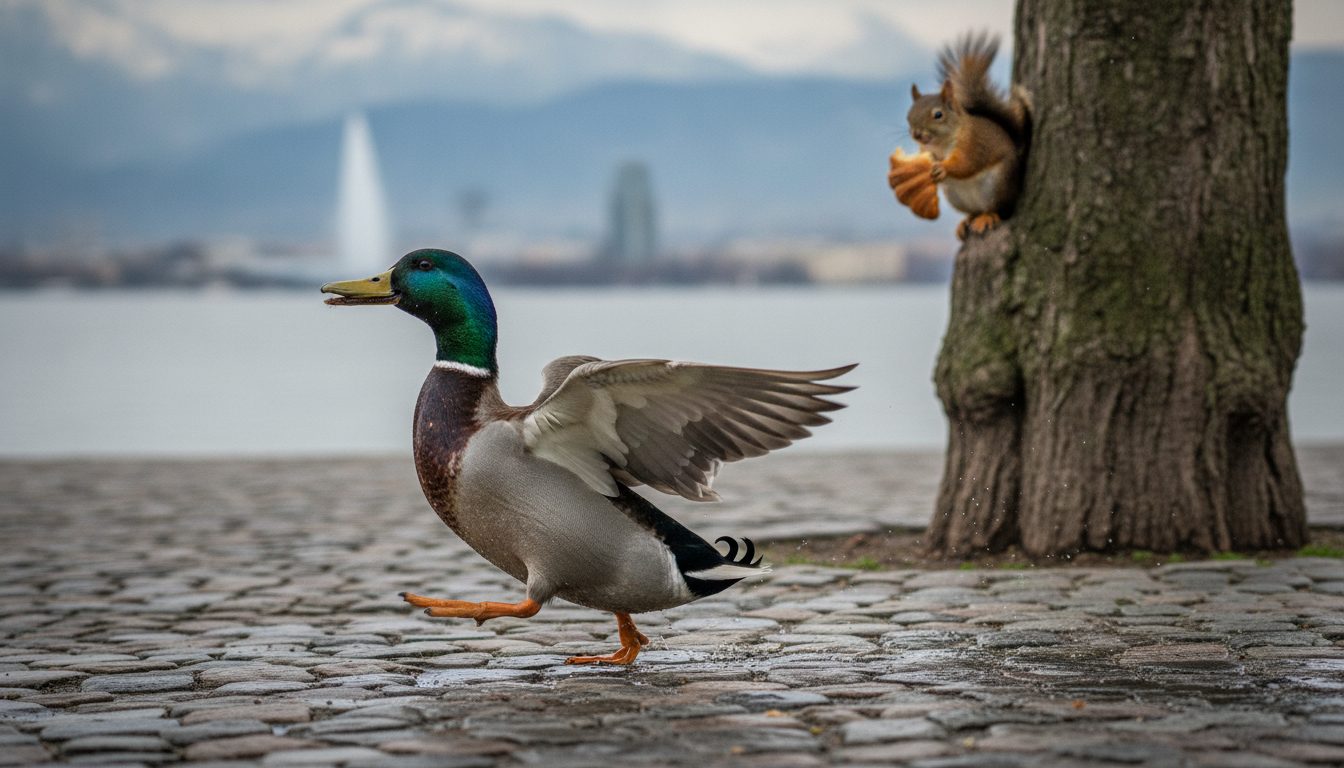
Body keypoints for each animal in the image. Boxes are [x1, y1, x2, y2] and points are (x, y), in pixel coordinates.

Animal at [904, 32, 1031, 240]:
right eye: (908, 115)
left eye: (938, 114)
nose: (917, 134)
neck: (941, 144)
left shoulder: (973, 143)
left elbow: (966, 162)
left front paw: (944, 168)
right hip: (955, 196)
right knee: (973, 211)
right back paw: (966, 221)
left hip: (996, 187)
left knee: (993, 209)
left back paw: (986, 217)